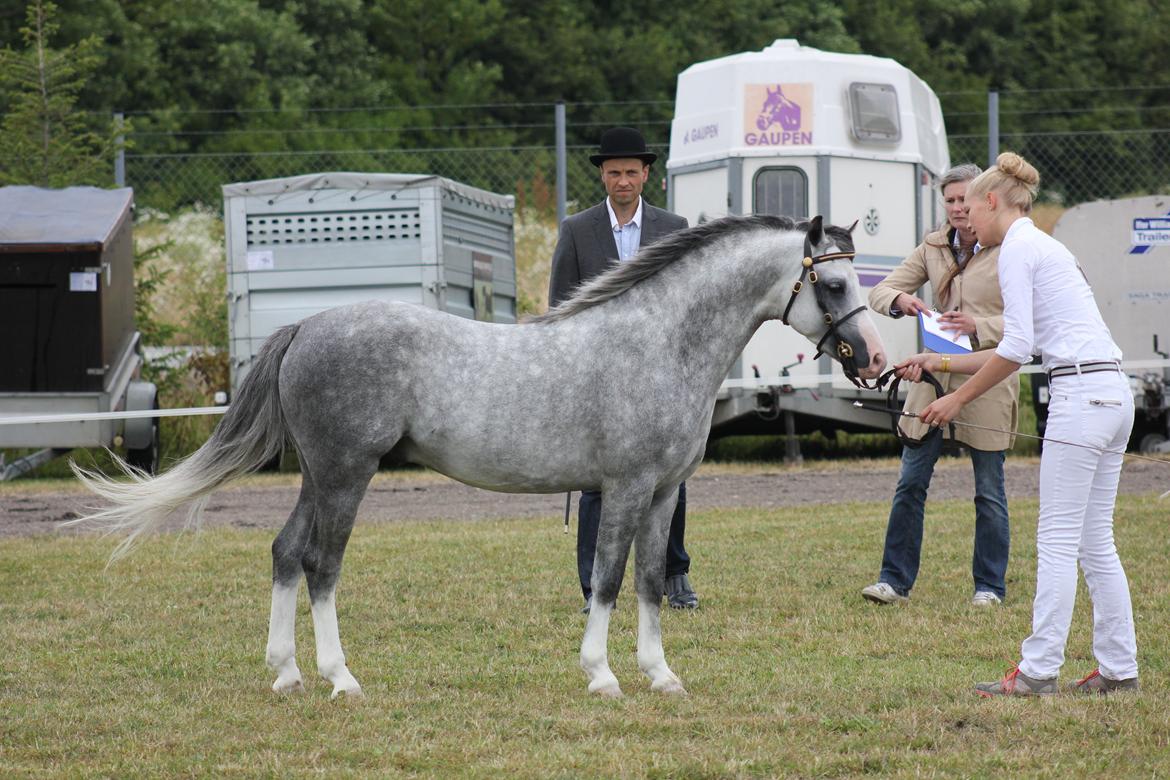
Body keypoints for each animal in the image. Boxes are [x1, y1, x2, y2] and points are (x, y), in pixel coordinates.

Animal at [70, 214, 886, 699]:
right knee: (322, 565)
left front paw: (661, 676)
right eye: (832, 281)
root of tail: (306, 326)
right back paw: (340, 679)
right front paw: (602, 676)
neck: (659, 341)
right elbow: (607, 579)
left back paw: (286, 675)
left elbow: (653, 581)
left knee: (284, 552)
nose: (876, 360)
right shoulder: (624, 489)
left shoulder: (661, 495)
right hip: (345, 475)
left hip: (317, 476)